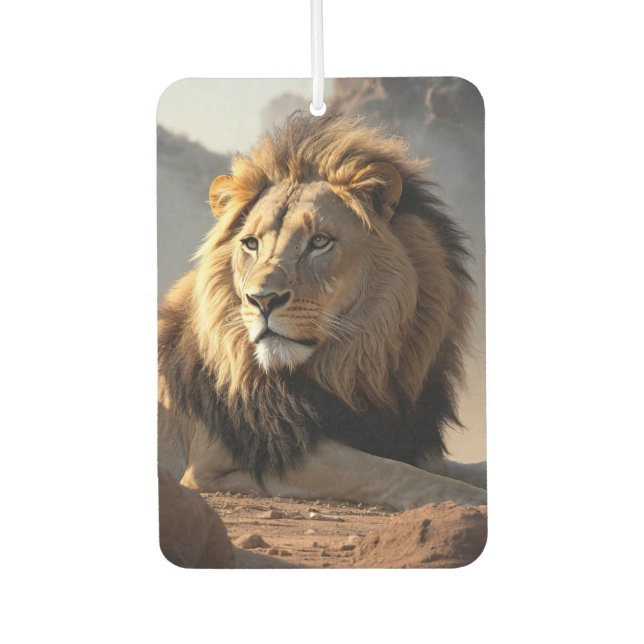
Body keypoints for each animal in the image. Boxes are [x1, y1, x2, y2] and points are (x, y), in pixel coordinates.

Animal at [158, 114, 486, 510]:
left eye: (319, 242)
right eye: (251, 243)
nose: (261, 300)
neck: (353, 368)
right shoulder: (229, 460)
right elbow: (388, 471)